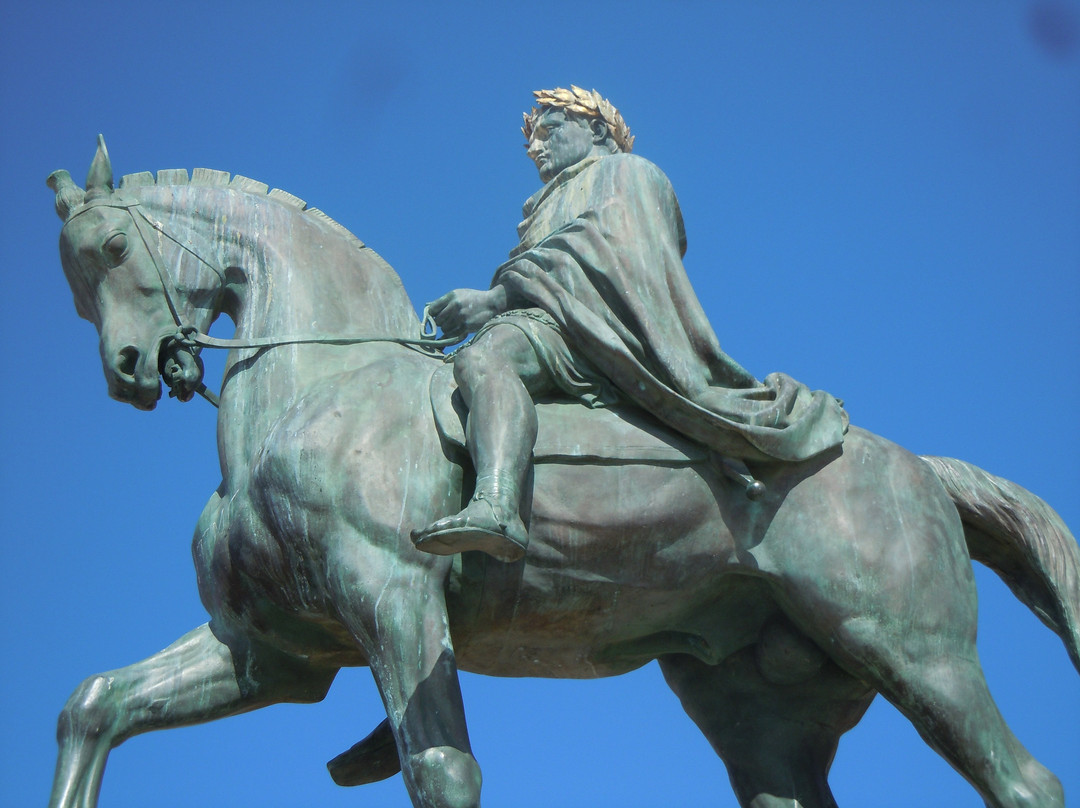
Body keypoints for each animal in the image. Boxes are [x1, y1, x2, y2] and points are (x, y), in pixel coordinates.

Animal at [46, 139, 1075, 808]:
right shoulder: (274, 653)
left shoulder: (392, 597)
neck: (320, 390)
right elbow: (93, 706)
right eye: (74, 284)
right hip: (761, 711)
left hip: (912, 650)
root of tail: (917, 467)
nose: (132, 371)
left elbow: (444, 772)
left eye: (112, 250)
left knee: (1023, 780)